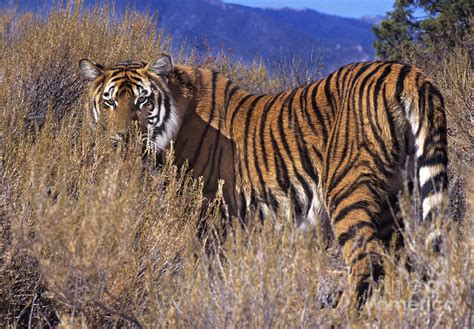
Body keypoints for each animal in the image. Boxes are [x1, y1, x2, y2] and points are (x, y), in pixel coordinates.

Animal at [78, 54, 448, 308]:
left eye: (142, 101)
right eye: (109, 101)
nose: (121, 138)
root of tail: (404, 71)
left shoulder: (210, 210)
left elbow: (202, 264)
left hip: (347, 190)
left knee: (367, 260)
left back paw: (343, 314)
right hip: (392, 197)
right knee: (398, 262)